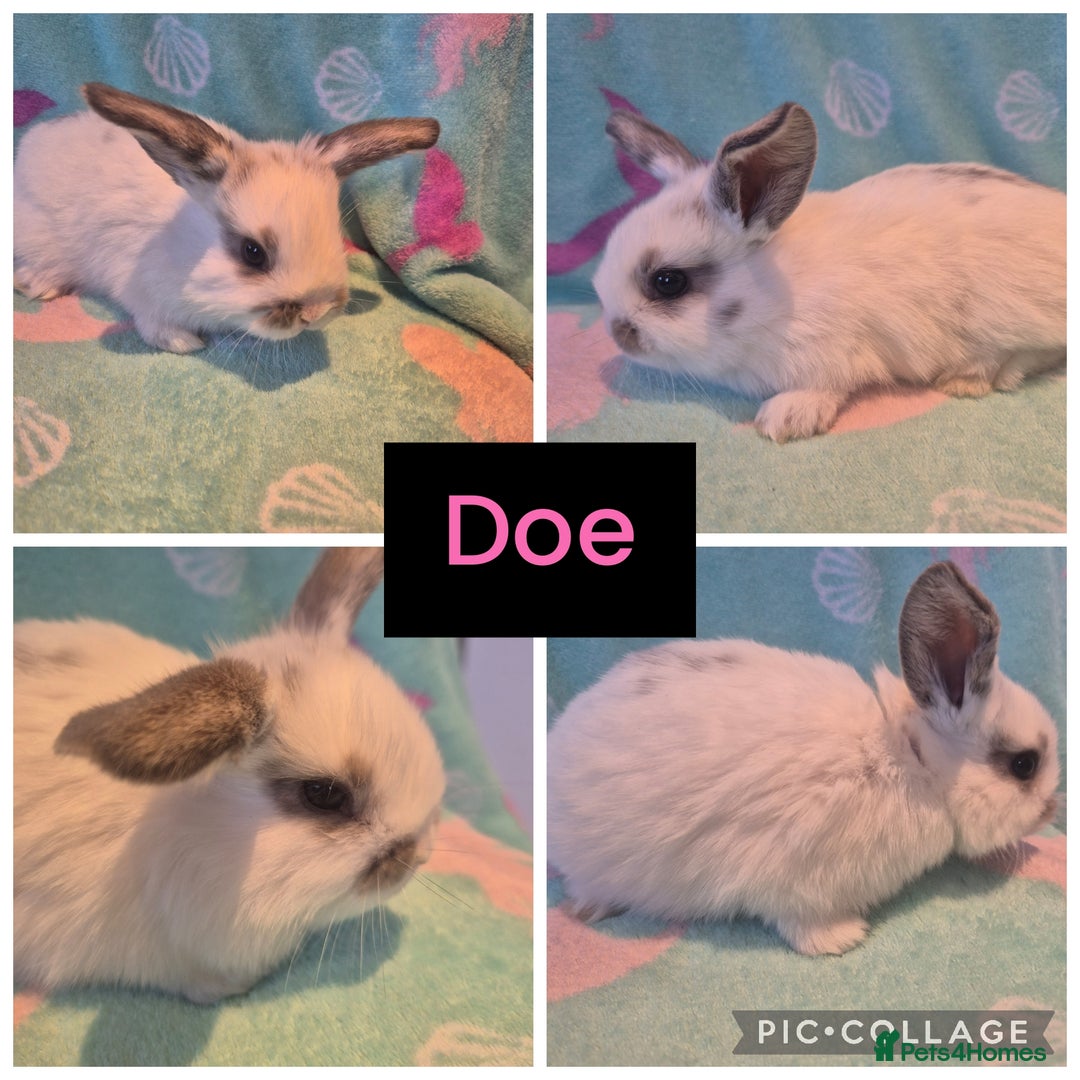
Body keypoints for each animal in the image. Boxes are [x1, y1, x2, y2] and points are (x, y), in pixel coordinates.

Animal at [13, 82, 439, 353]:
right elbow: (154, 327)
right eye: (253, 252)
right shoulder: (141, 292)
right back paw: (37, 285)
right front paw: (185, 344)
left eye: (337, 239)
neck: (181, 242)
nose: (315, 313)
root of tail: (34, 141)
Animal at [548, 561, 1060, 955]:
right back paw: (591, 909)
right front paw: (843, 939)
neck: (911, 760)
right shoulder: (798, 880)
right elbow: (800, 922)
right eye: (1024, 765)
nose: (1051, 809)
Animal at [591, 103, 1065, 442]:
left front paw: (782, 420)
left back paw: (967, 379)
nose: (616, 334)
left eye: (668, 282)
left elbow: (823, 389)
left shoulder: (831, 357)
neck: (774, 297)